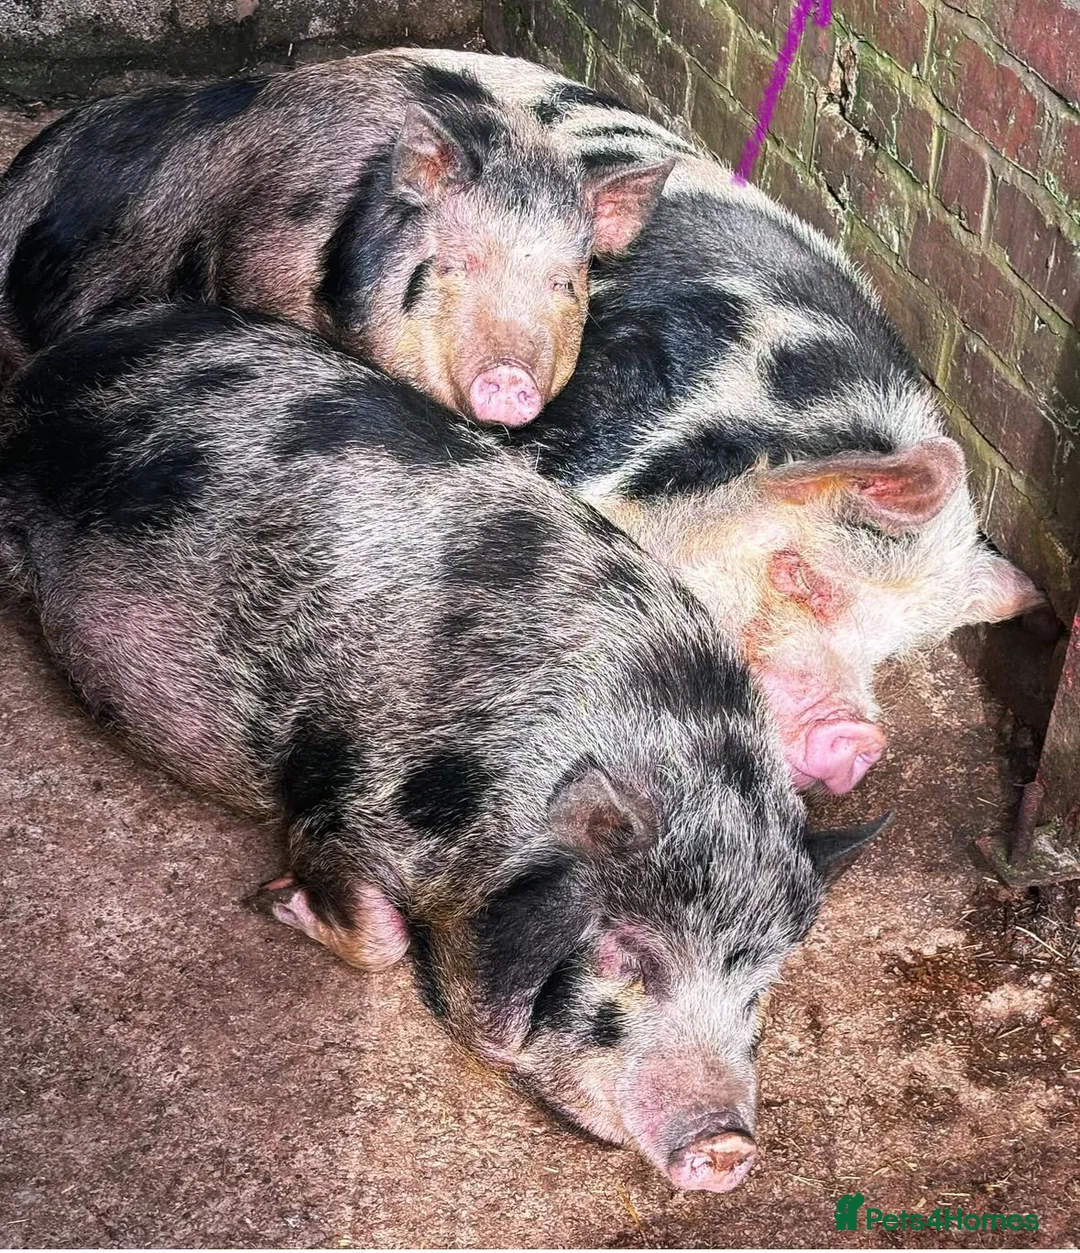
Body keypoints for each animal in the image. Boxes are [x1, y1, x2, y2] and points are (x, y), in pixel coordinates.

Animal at [0, 302, 887, 1193]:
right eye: (632, 956)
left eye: (757, 989)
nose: (729, 1145)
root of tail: (57, 363)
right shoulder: (335, 799)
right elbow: (380, 934)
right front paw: (275, 899)